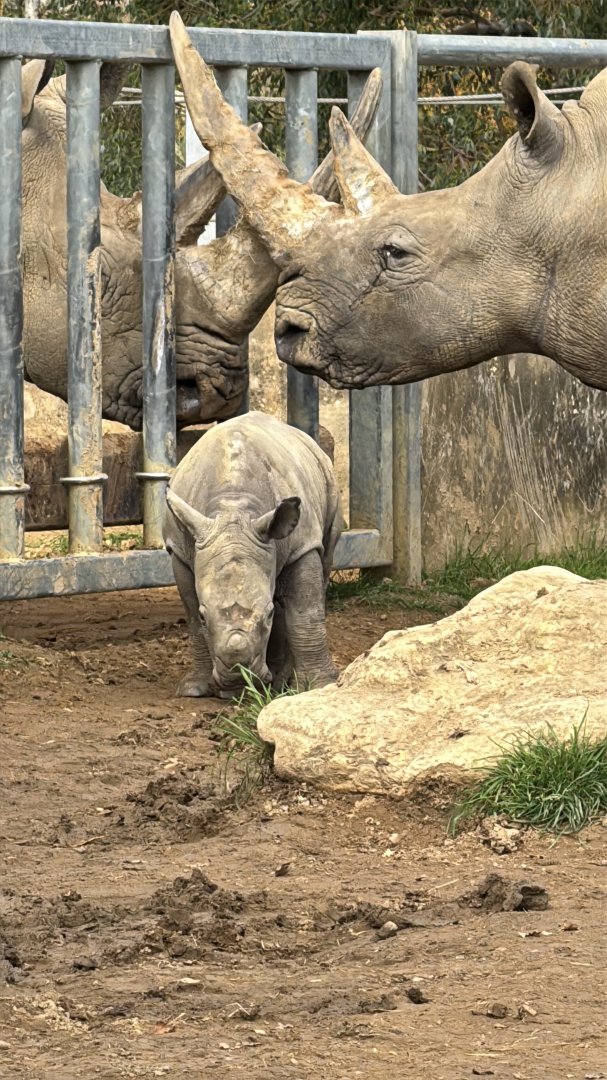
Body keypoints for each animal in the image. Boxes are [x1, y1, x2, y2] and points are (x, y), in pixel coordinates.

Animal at [163, 411, 342, 698]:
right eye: (204, 616)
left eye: (267, 614)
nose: (237, 677)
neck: (233, 507)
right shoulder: (180, 550)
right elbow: (190, 614)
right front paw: (194, 690)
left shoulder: (301, 546)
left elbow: (305, 613)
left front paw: (318, 686)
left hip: (328, 481)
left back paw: (283, 683)